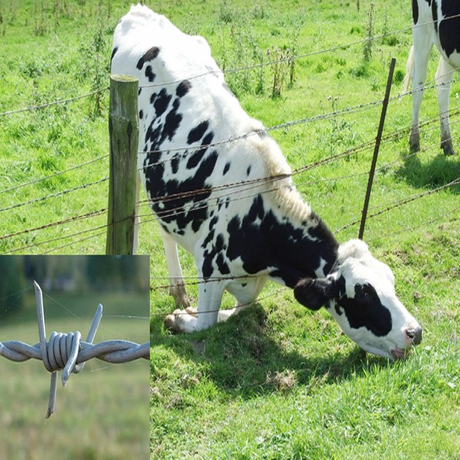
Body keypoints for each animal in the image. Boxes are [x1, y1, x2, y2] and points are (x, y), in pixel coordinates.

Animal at [113, 5, 422, 362]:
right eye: (364, 295)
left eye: (391, 280)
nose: (415, 331)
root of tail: (140, 12)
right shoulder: (209, 266)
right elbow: (205, 323)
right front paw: (180, 319)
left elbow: (244, 305)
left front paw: (195, 312)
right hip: (135, 155)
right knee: (135, 214)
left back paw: (178, 291)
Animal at [406, 0, 460, 155]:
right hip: (421, 32)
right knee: (418, 86)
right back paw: (414, 140)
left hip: (448, 47)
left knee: (442, 85)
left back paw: (447, 142)